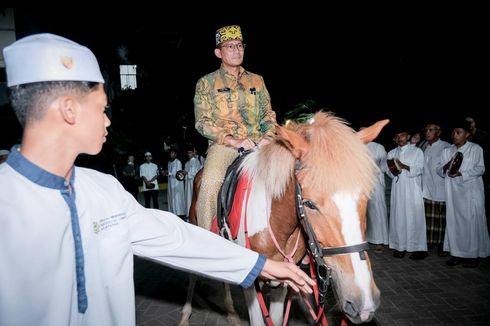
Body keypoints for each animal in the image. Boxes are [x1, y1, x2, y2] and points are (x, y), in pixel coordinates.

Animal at [179, 111, 386, 324]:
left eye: (366, 197)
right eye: (309, 204)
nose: (364, 302)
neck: (277, 223)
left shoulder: (284, 278)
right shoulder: (252, 280)